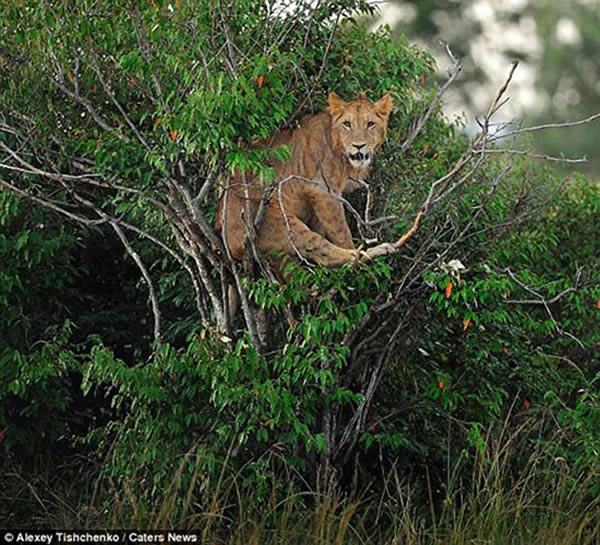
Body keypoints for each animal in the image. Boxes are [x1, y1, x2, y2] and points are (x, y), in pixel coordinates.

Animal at [215, 92, 397, 270]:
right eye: (347, 124)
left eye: (370, 124)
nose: (358, 146)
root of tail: (227, 241)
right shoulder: (324, 191)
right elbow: (340, 231)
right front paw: (351, 247)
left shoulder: (316, 199)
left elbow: (322, 224)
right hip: (284, 226)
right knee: (327, 255)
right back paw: (374, 251)